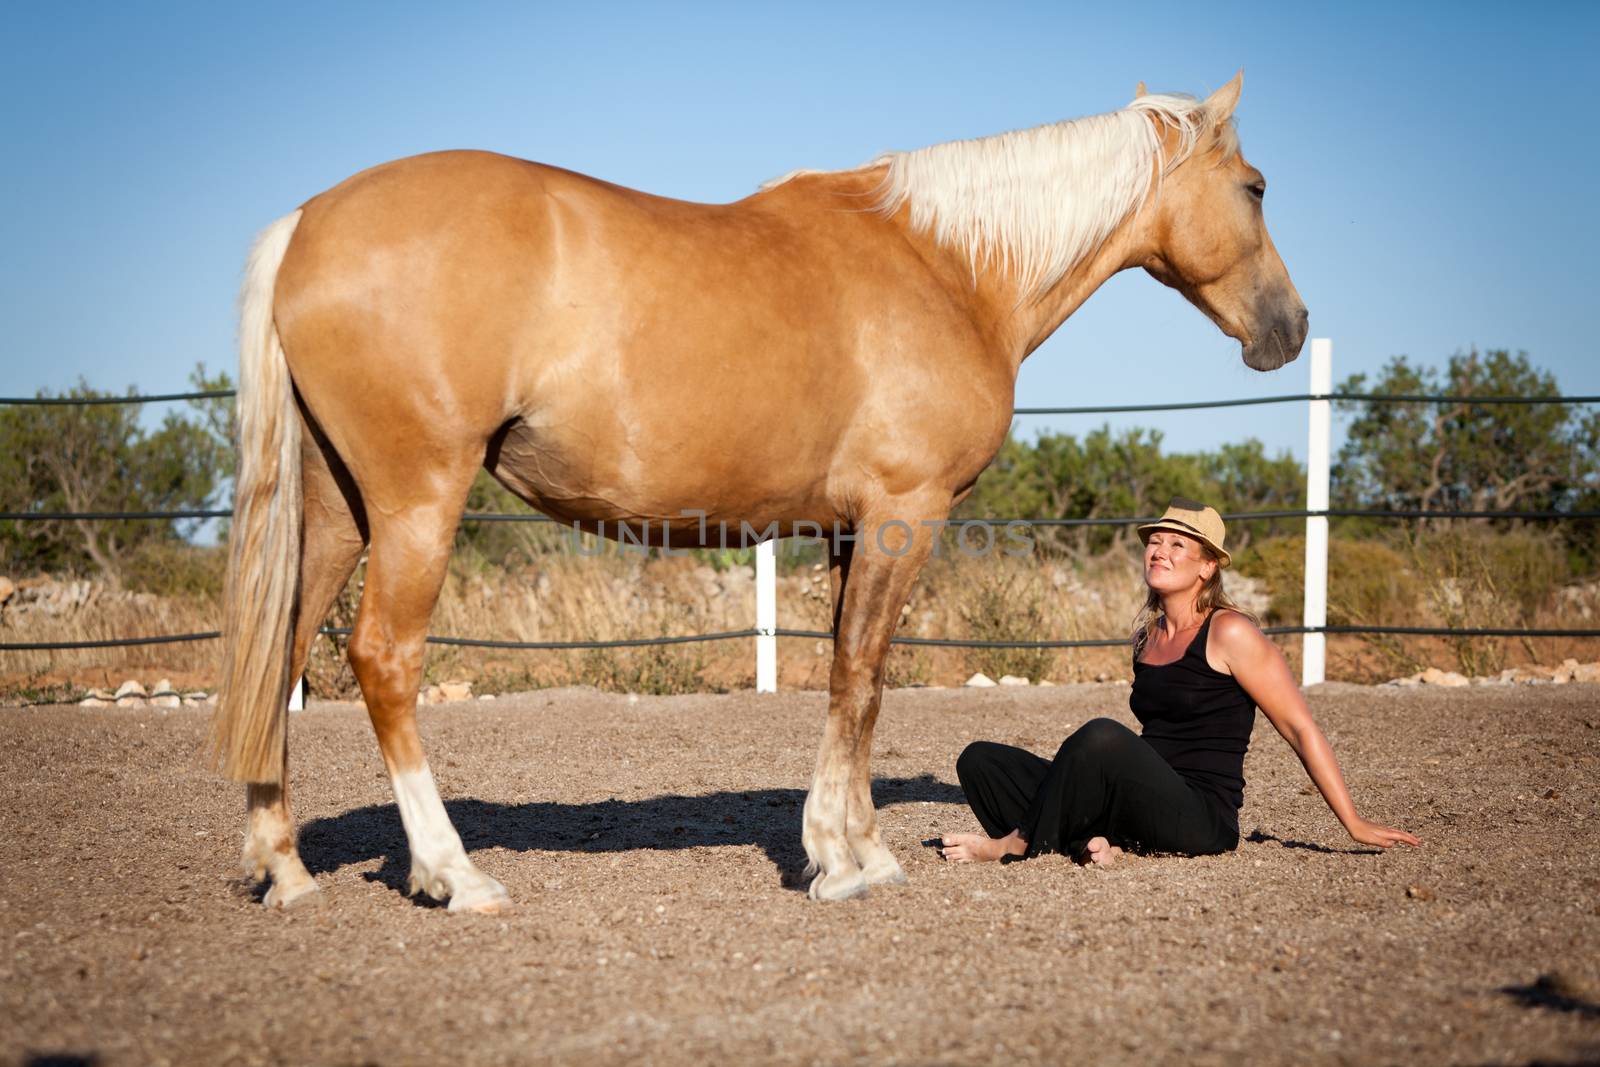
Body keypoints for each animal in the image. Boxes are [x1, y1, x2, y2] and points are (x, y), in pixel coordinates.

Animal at [212, 73, 1305, 908]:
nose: (1288, 327)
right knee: (383, 659)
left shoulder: (849, 530)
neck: (948, 266)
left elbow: (847, 678)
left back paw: (285, 869)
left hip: (337, 507)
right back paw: (454, 874)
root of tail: (309, 221)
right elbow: (862, 677)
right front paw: (847, 860)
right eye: (1255, 187)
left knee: (283, 651)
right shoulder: (903, 513)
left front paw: (849, 845)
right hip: (416, 499)